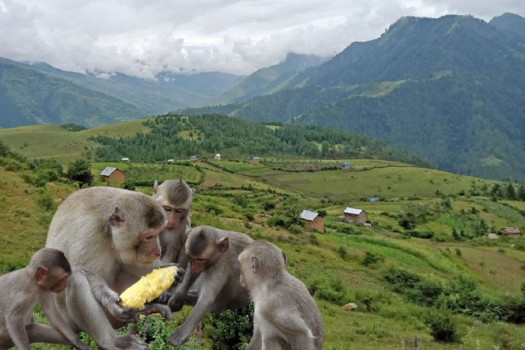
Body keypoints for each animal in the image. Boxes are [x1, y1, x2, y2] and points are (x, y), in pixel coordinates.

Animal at [45, 187, 180, 350]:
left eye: (158, 233)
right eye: (149, 237)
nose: (157, 252)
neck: (108, 230)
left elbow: (134, 263)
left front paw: (169, 272)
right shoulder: (90, 230)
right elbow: (83, 269)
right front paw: (112, 303)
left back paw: (147, 309)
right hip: (71, 320)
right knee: (75, 279)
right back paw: (112, 341)